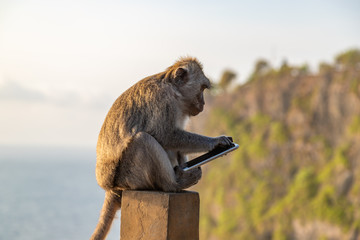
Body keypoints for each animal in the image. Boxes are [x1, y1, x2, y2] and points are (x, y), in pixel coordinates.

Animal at [90, 57, 233, 239]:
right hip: (128, 177)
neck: (173, 90)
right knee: (143, 140)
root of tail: (110, 188)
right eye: (201, 88)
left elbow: (176, 144)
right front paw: (215, 142)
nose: (203, 103)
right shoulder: (163, 101)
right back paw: (173, 184)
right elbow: (165, 135)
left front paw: (184, 164)